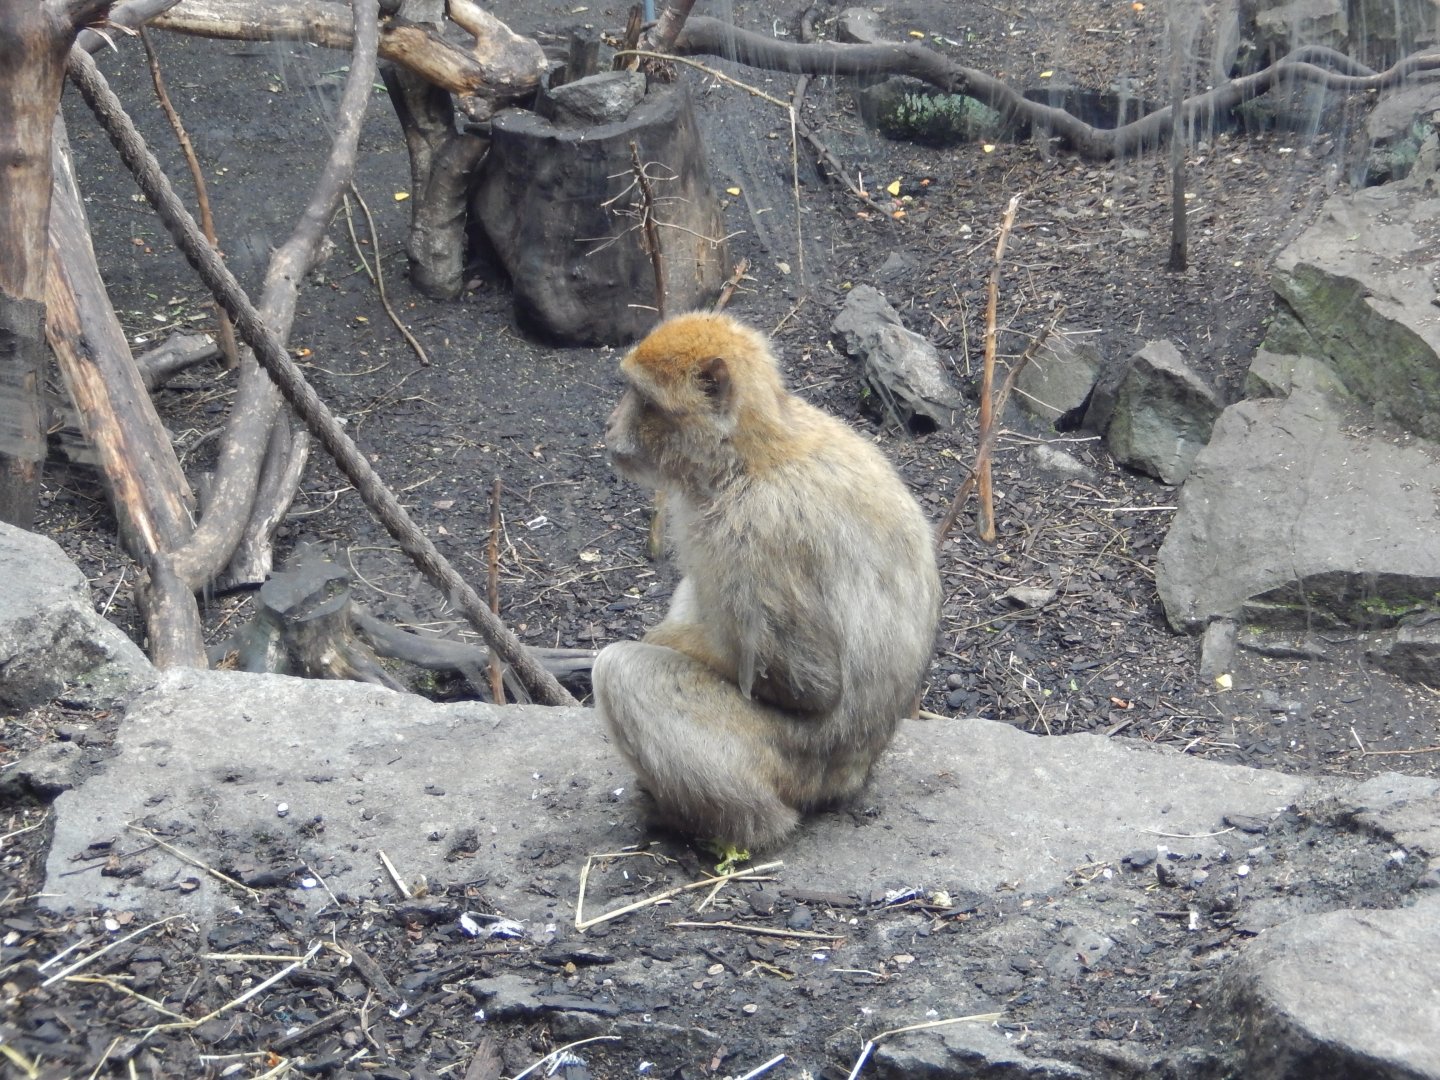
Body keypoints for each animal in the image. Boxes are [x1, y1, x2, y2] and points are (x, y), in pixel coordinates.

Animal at [591, 310, 941, 853]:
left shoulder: (755, 534)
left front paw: (664, 639)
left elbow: (810, 683)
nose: (609, 425)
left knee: (621, 671)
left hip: (789, 763)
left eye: (644, 402)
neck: (749, 457)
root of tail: (855, 774)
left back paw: (718, 827)